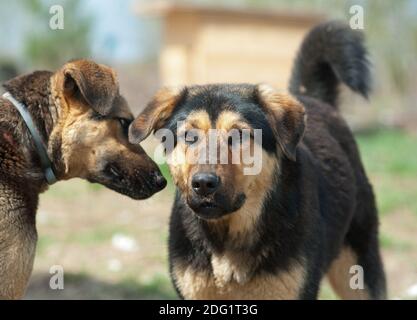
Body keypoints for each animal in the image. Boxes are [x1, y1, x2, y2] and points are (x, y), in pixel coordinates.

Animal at [131, 22, 386, 300]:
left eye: (239, 135)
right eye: (189, 136)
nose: (203, 184)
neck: (229, 235)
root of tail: (318, 101)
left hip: (359, 268)